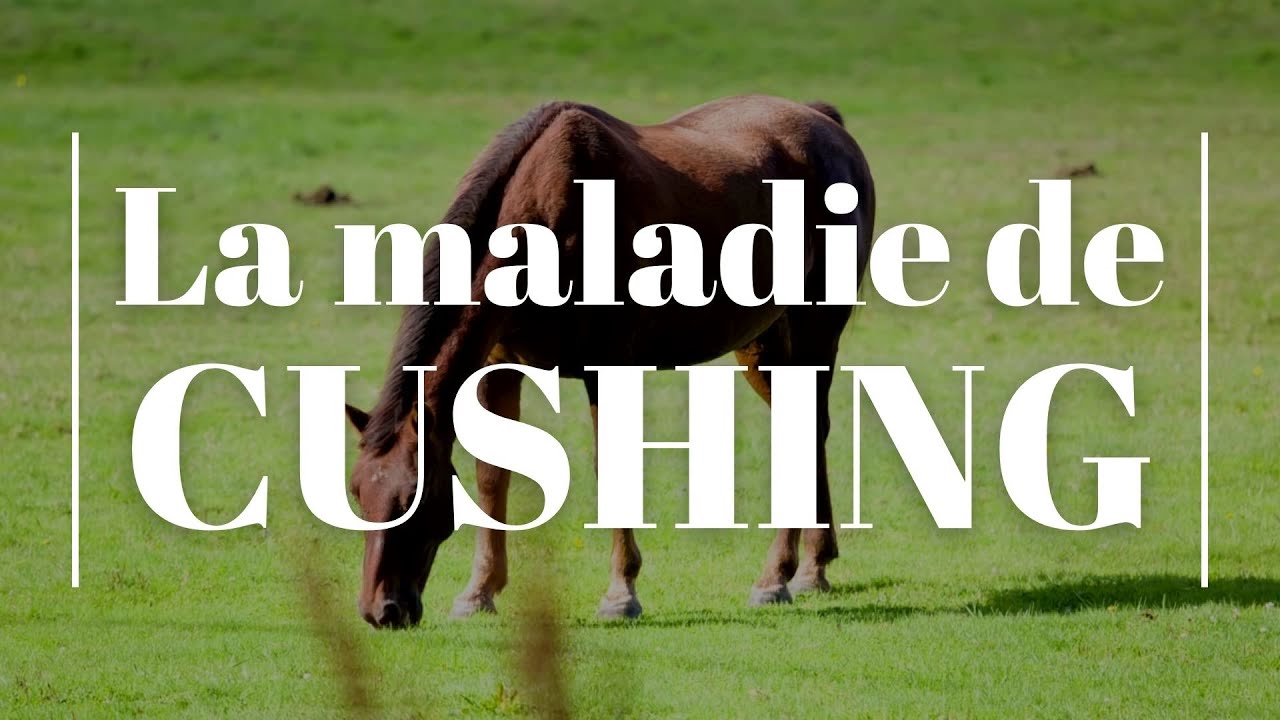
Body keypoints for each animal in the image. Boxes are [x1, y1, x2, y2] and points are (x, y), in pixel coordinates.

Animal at [344, 95, 875, 628]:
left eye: (413, 498)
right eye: (358, 494)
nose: (381, 610)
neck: (553, 216)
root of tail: (821, 120)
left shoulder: (608, 369)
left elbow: (610, 467)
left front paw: (621, 593)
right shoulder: (496, 368)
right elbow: (493, 475)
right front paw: (478, 592)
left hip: (814, 331)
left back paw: (780, 576)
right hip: (761, 347)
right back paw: (812, 564)